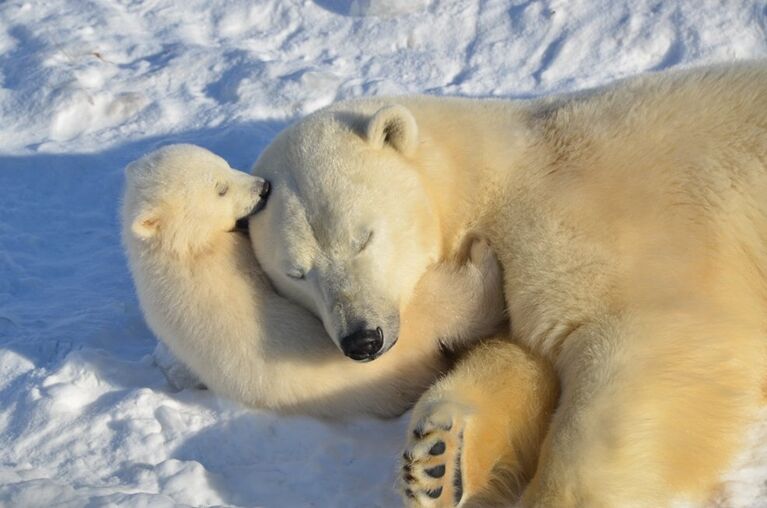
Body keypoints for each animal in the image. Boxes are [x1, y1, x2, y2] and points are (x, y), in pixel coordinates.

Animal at [121, 145, 510, 418]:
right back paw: (481, 258)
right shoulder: (226, 265)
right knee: (441, 305)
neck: (179, 252)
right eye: (220, 189)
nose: (263, 188)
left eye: (223, 164)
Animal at [250, 63, 767, 508]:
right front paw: (437, 460)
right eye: (296, 272)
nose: (362, 340)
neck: (493, 178)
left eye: (364, 238)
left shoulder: (604, 231)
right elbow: (516, 358)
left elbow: (650, 344)